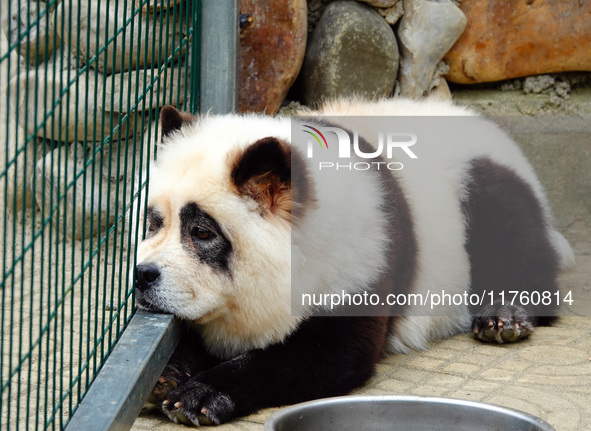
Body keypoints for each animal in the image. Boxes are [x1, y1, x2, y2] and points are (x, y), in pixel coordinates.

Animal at [136, 99, 576, 426]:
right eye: (154, 223)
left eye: (202, 232)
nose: (143, 276)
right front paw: (167, 374)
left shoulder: (360, 262)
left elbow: (331, 354)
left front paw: (200, 395)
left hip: (478, 181)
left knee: (510, 231)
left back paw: (506, 314)